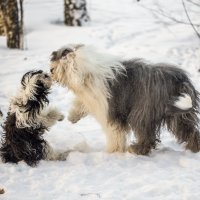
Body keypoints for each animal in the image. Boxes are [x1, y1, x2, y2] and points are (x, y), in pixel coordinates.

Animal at [49, 45, 200, 155]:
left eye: (57, 61)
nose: (50, 70)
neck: (85, 73)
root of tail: (179, 81)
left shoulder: (109, 109)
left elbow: (114, 132)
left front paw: (112, 151)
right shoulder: (92, 98)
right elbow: (82, 103)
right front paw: (73, 116)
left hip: (143, 109)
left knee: (147, 136)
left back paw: (136, 149)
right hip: (180, 115)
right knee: (189, 131)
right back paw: (195, 148)